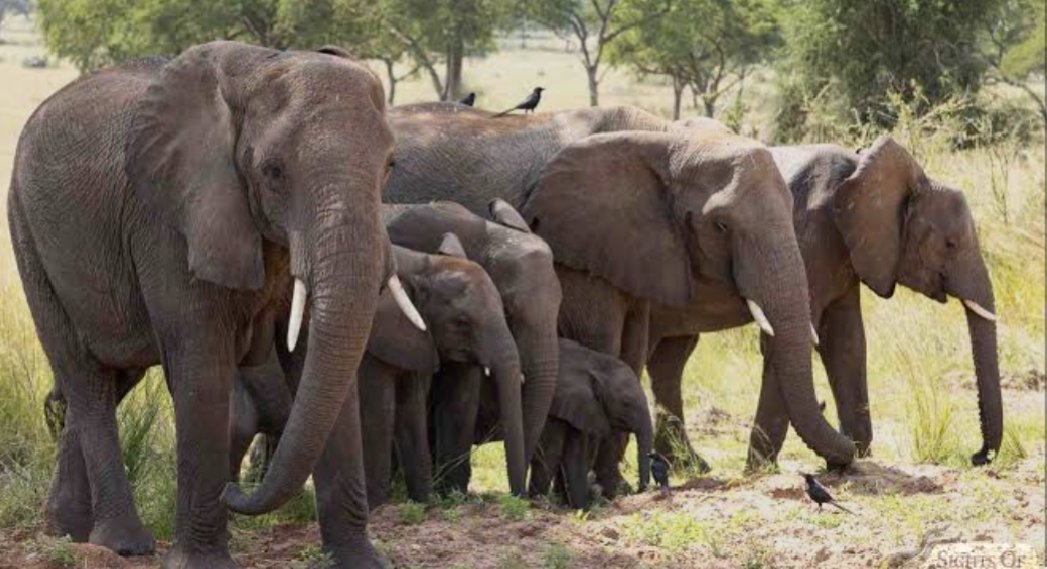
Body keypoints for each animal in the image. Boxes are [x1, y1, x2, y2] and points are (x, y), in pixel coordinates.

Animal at [8, 41, 422, 569]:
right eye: (272, 172)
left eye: (389, 166)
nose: (235, 489)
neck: (260, 69)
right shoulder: (170, 218)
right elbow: (201, 366)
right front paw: (201, 562)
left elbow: (318, 358)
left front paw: (358, 561)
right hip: (27, 229)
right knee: (86, 378)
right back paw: (122, 544)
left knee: (115, 374)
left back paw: (70, 531)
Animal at [528, 338, 653, 509]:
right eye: (626, 403)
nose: (638, 491)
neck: (593, 362)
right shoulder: (554, 404)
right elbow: (550, 453)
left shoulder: (580, 407)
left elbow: (575, 454)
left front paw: (580, 508)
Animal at [647, 135, 1002, 469]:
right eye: (950, 244)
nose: (976, 456)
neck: (861, 170)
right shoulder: (809, 240)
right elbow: (790, 341)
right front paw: (758, 471)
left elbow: (846, 341)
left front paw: (859, 458)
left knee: (670, 357)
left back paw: (688, 466)